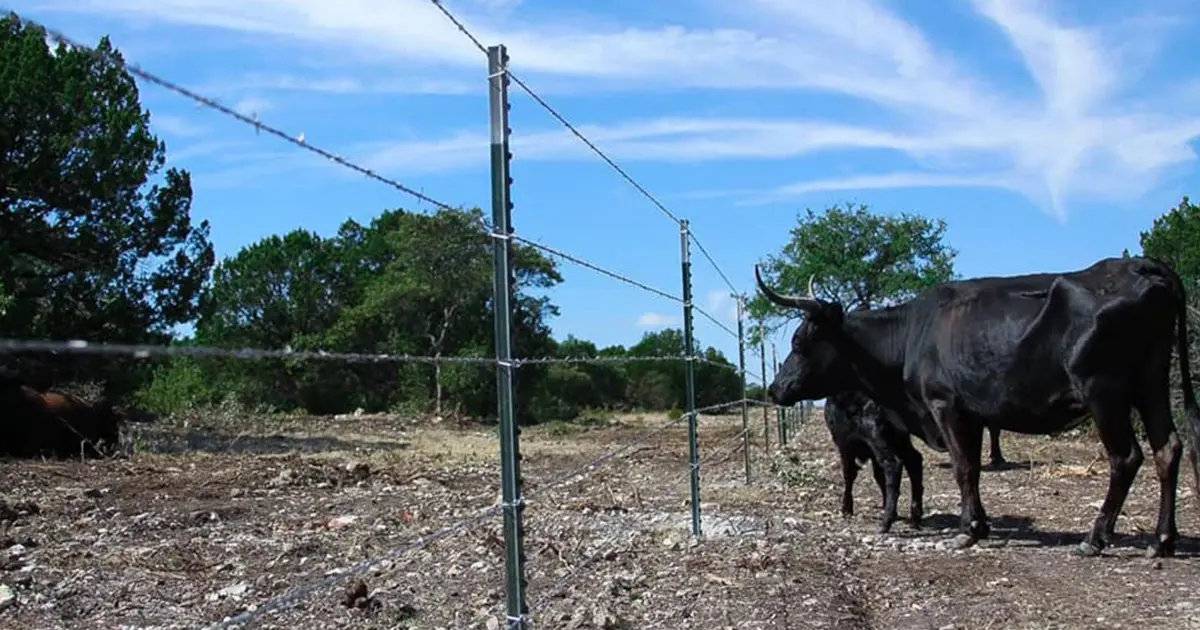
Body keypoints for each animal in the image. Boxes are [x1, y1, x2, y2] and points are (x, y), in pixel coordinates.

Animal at [820, 391, 921, 532]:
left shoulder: (844, 444)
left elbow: (849, 474)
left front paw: (846, 508)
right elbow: (878, 477)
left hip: (877, 436)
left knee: (892, 464)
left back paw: (886, 522)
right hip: (900, 439)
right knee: (914, 460)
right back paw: (915, 514)